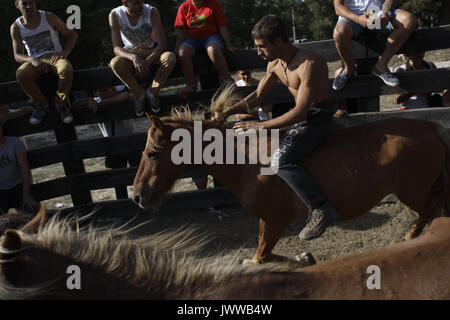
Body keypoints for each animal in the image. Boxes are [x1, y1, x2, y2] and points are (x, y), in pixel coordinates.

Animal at [131, 89, 450, 262]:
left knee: (429, 215)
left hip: (415, 193)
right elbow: (261, 257)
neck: (246, 163)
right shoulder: (267, 221)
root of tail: (432, 128)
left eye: (153, 153)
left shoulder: (275, 221)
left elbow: (259, 258)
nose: (138, 195)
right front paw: (303, 257)